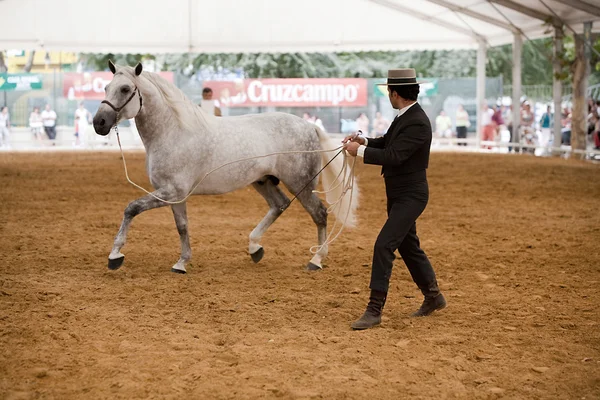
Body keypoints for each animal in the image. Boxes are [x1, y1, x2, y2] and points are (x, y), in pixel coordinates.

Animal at [93, 61, 356, 276]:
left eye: (124, 89)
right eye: (106, 87)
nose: (99, 123)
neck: (172, 132)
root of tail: (310, 126)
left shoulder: (172, 191)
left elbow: (131, 208)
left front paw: (115, 255)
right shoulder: (175, 195)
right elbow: (182, 226)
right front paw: (181, 263)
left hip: (301, 183)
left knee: (319, 214)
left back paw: (316, 260)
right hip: (263, 180)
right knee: (279, 205)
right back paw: (254, 247)